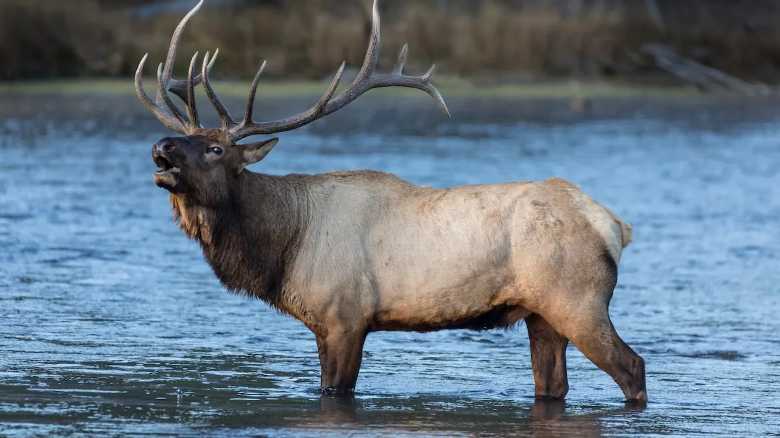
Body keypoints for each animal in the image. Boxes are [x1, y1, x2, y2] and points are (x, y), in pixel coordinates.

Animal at [134, 0, 647, 403]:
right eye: (186, 139)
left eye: (216, 149)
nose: (160, 148)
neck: (283, 248)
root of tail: (613, 225)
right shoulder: (324, 324)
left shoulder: (346, 316)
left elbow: (336, 391)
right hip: (541, 315)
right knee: (553, 386)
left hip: (578, 300)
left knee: (632, 367)